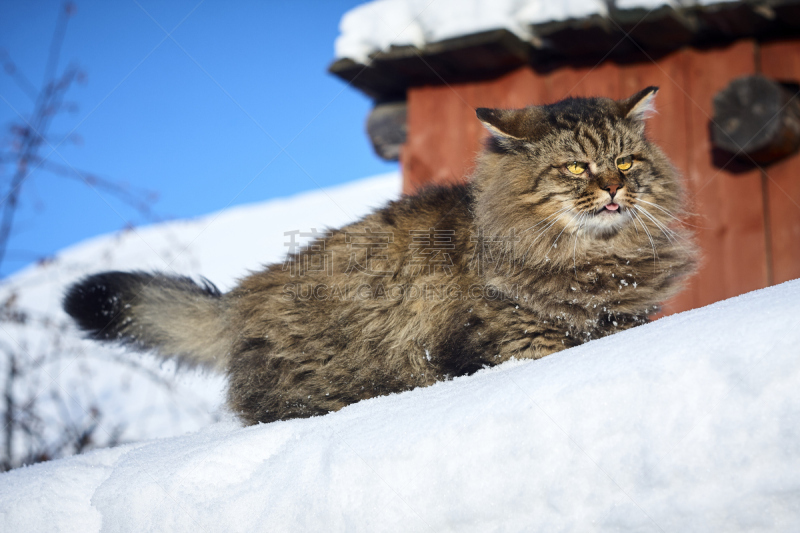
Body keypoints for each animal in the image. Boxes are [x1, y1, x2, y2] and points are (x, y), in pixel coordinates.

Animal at [65, 87, 696, 424]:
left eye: (625, 162)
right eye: (574, 168)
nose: (614, 189)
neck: (597, 262)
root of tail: (241, 299)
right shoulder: (515, 340)